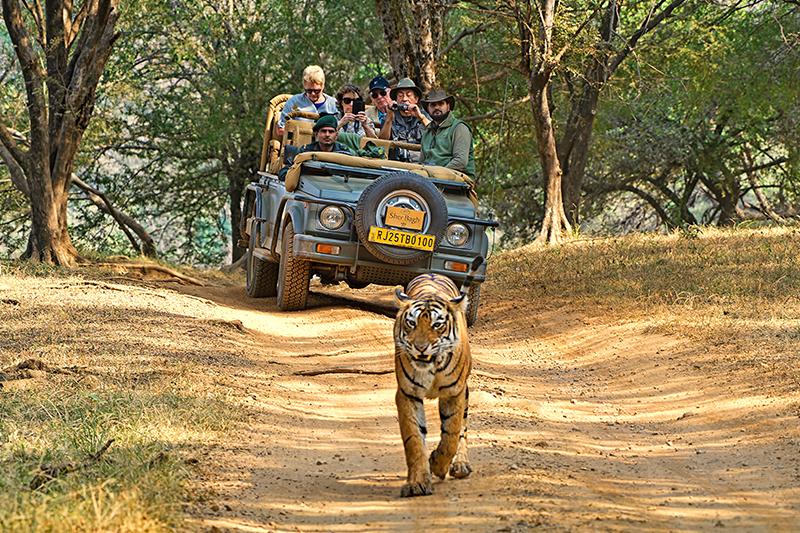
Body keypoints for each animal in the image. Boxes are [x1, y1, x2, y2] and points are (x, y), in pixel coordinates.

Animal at [393, 258, 482, 497]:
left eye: (437, 324)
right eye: (412, 323)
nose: (420, 347)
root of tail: (433, 274)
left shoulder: (454, 393)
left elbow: (451, 434)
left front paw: (438, 465)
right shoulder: (408, 393)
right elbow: (414, 438)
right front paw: (417, 482)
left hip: (465, 391)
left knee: (463, 429)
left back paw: (460, 465)